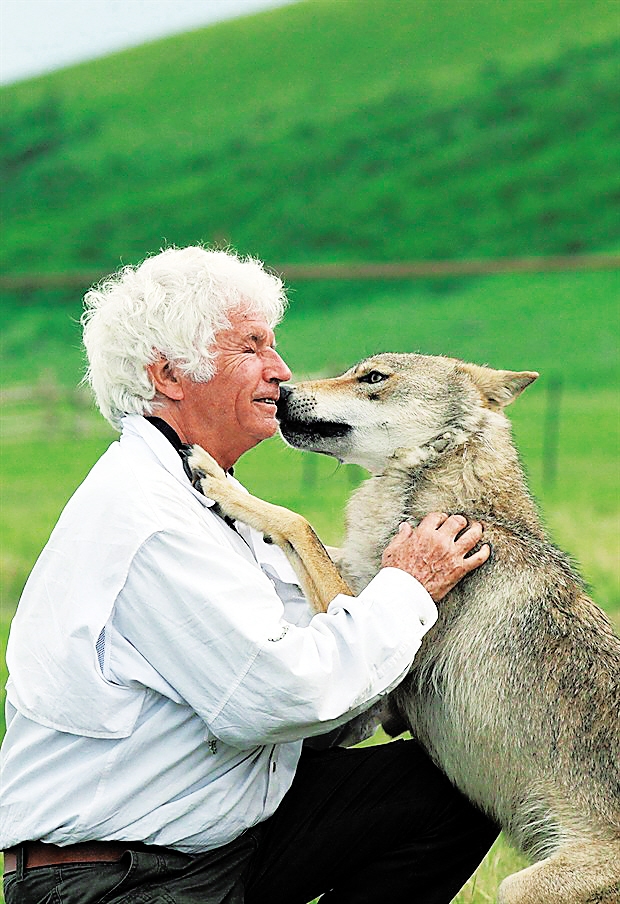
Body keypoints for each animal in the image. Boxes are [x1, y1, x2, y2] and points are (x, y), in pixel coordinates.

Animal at [188, 353, 620, 904]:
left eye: (373, 377)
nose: (281, 391)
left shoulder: (374, 663)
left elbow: (297, 523)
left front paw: (222, 483)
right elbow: (313, 540)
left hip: (518, 889)